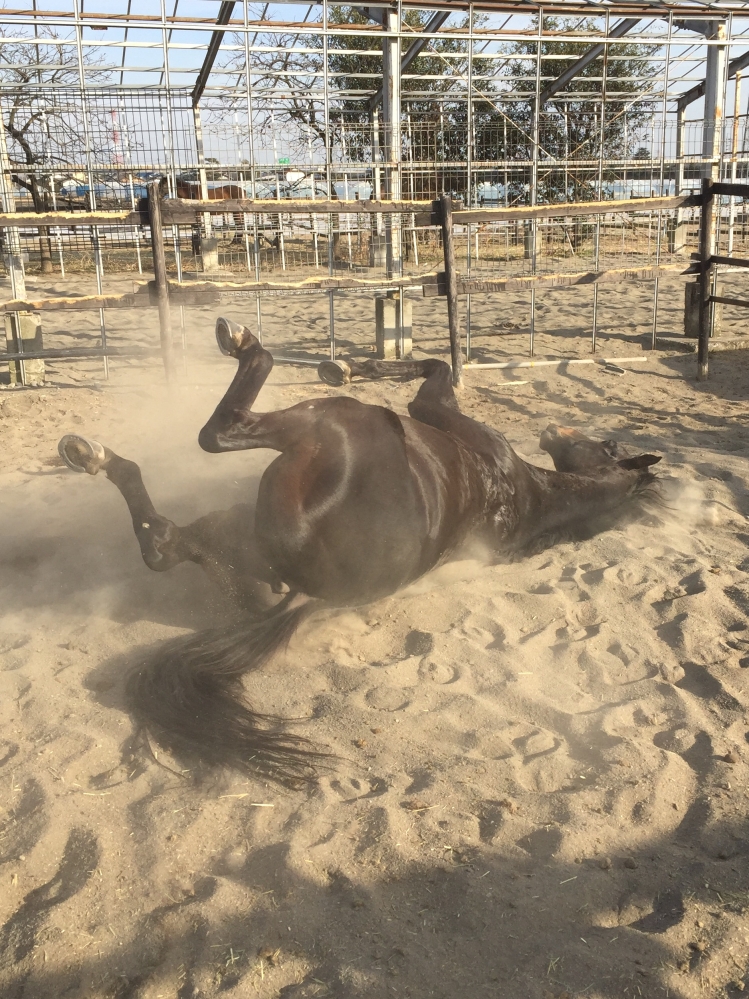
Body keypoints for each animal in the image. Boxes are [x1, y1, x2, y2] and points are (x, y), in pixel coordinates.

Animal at [57, 318, 661, 785]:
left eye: (609, 444)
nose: (555, 431)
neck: (530, 493)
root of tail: (309, 594)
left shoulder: (433, 408)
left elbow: (436, 370)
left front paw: (341, 365)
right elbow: (435, 363)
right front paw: (347, 362)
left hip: (325, 425)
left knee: (222, 434)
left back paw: (231, 352)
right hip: (234, 536)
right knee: (162, 542)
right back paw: (96, 457)